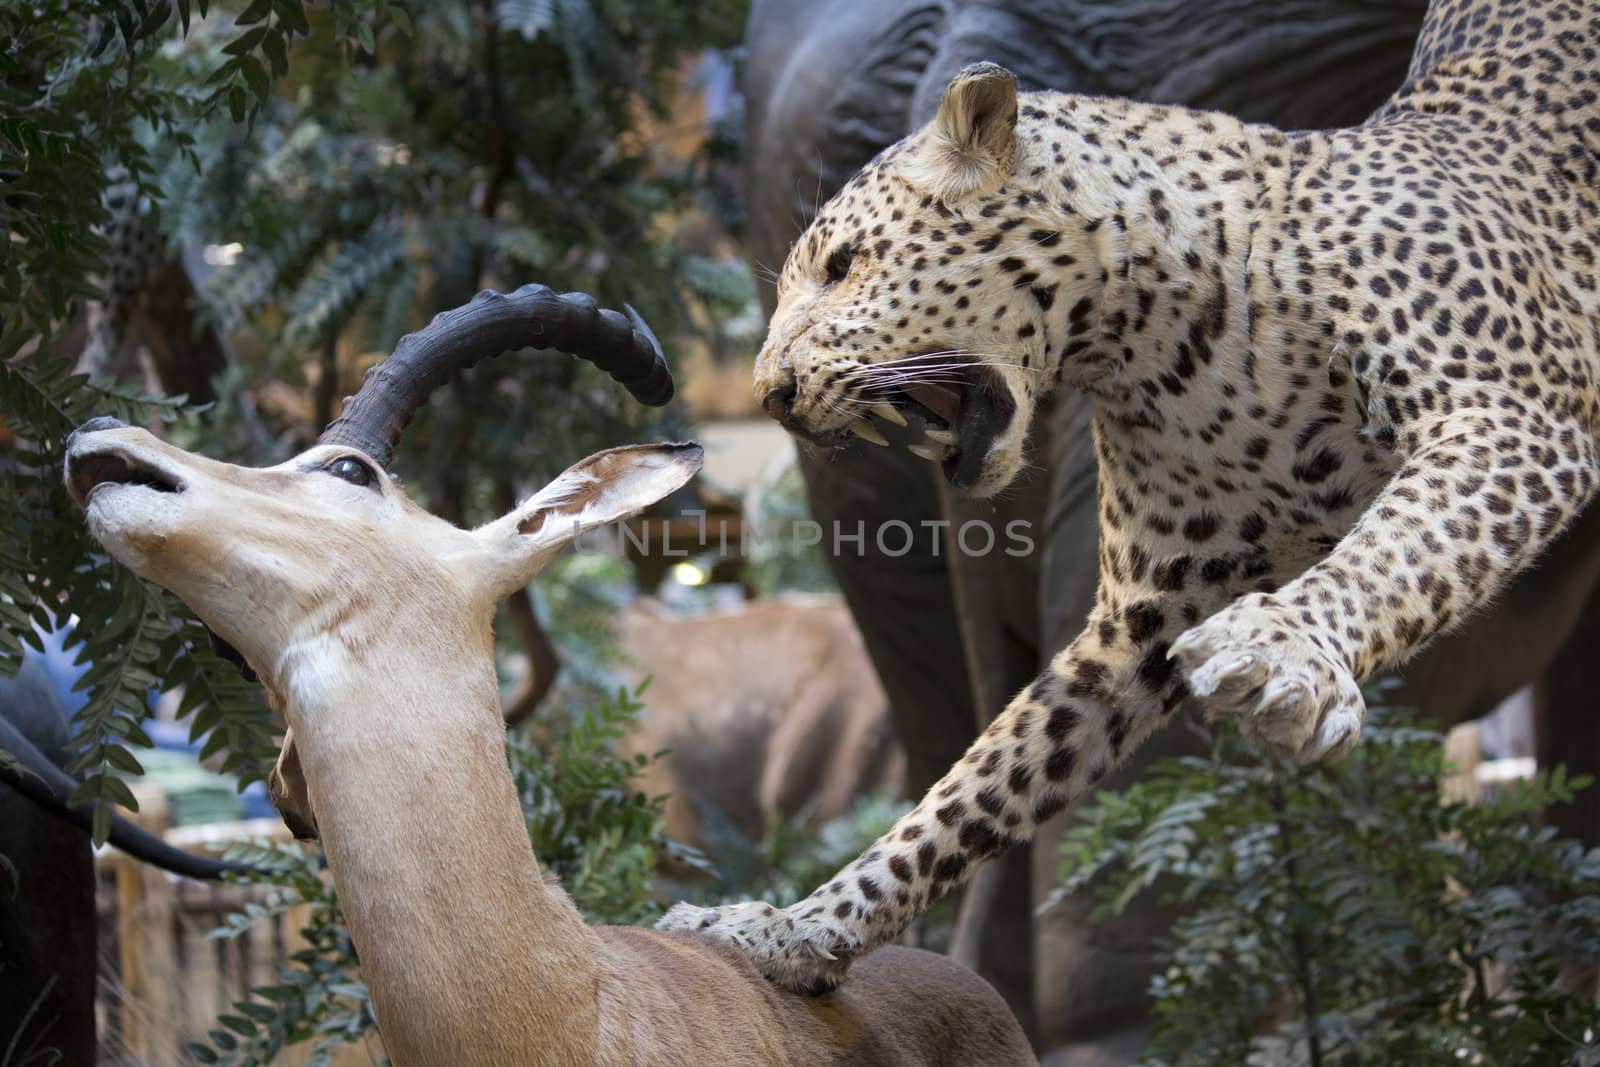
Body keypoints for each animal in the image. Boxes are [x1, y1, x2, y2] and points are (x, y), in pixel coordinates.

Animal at [652, 0, 1600, 998]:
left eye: (841, 265)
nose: (770, 392)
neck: (1165, 348)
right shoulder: (1135, 624)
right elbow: (972, 791)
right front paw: (790, 926)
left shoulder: (1508, 415)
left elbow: (1400, 549)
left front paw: (1285, 652)